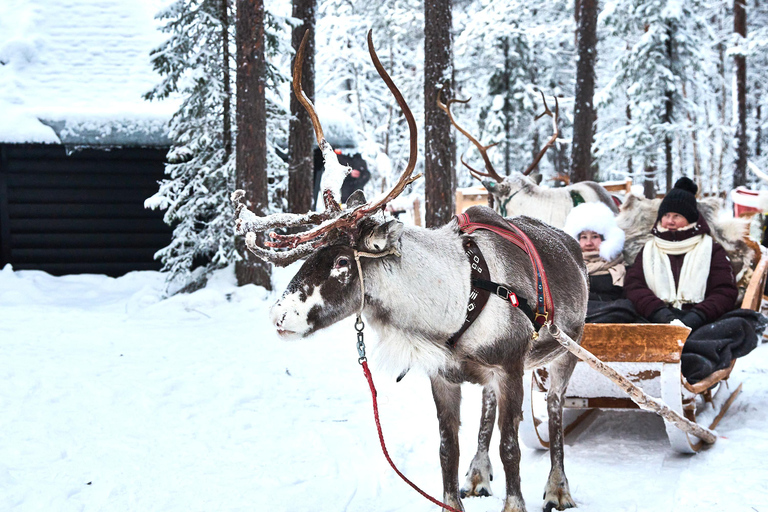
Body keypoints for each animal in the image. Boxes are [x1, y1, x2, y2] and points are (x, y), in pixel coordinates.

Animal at [233, 31, 588, 512]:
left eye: (342, 261)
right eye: (311, 256)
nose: (280, 316)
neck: (454, 304)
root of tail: (572, 244)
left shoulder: (512, 368)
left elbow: (512, 448)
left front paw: (517, 500)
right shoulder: (443, 376)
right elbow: (447, 449)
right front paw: (459, 487)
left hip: (566, 352)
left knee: (553, 409)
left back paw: (558, 487)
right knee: (487, 410)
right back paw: (478, 475)